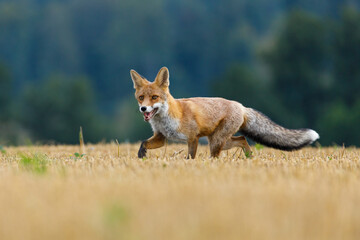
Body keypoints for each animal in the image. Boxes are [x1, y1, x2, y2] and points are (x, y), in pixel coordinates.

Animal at [130, 66, 320, 158]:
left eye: (154, 97)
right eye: (141, 98)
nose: (143, 108)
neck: (166, 119)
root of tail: (241, 106)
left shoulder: (193, 138)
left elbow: (190, 158)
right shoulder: (161, 137)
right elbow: (144, 143)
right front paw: (141, 155)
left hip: (215, 141)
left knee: (219, 154)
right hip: (220, 140)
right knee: (242, 139)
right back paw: (249, 158)